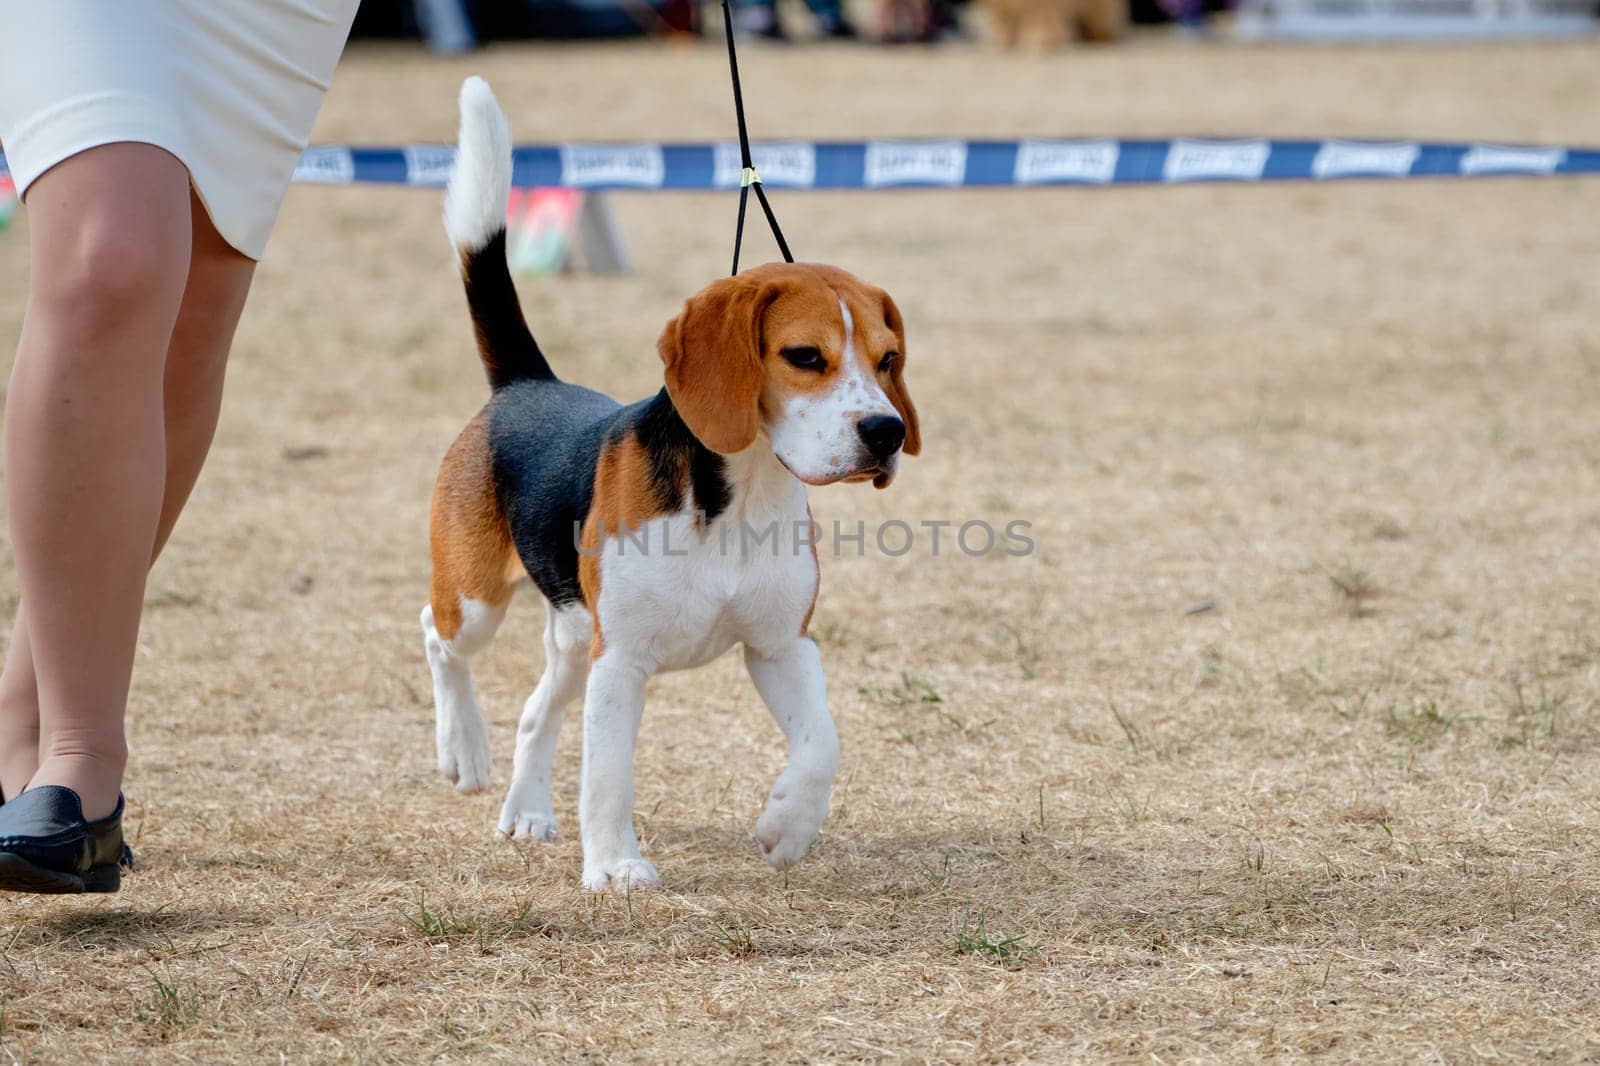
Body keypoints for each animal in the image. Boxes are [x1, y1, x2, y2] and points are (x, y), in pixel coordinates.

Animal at [425, 78, 921, 889]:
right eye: (805, 356)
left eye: (887, 360)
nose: (886, 433)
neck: (739, 498)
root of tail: (529, 382)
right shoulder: (622, 662)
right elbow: (608, 777)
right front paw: (616, 867)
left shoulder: (781, 645)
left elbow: (823, 745)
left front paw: (787, 824)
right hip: (478, 600)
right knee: (439, 641)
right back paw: (462, 747)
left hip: (574, 637)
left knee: (535, 711)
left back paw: (526, 810)